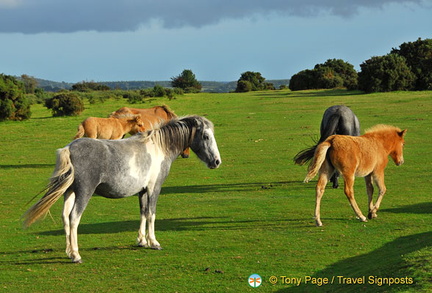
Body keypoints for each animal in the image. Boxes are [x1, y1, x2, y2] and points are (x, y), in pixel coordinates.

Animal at [22, 114, 221, 262]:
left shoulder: (142, 191)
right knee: (73, 218)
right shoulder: (154, 189)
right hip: (83, 193)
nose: (217, 162)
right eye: (206, 136)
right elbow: (151, 214)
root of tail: (69, 149)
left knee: (64, 217)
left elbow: (143, 213)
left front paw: (142, 241)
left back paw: (69, 251)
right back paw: (76, 255)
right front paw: (154, 242)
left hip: (69, 192)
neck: (159, 147)